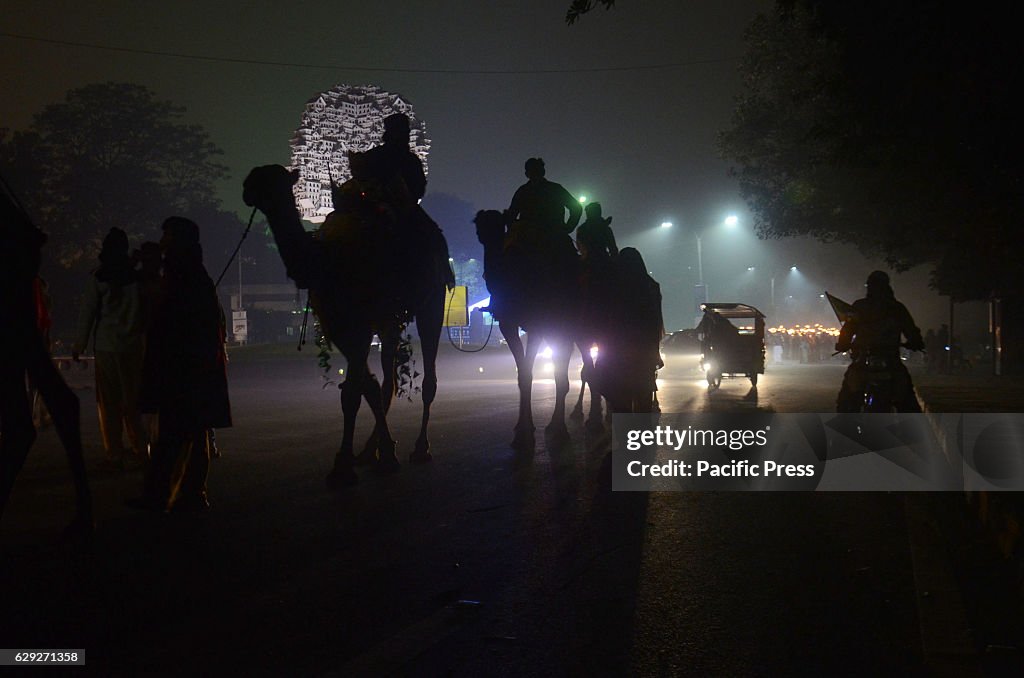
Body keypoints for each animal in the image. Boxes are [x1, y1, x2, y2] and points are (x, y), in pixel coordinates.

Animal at [241, 164, 450, 489]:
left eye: (273, 180)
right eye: (256, 175)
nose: (247, 189)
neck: (325, 262)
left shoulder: (360, 325)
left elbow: (352, 393)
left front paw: (343, 467)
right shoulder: (338, 325)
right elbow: (365, 387)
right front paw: (376, 455)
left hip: (433, 298)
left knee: (428, 376)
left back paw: (420, 447)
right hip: (389, 318)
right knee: (389, 380)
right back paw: (370, 451)